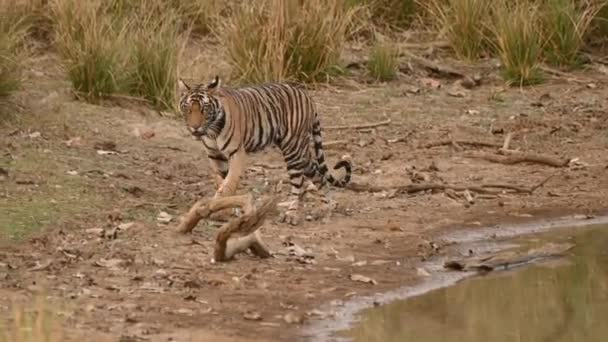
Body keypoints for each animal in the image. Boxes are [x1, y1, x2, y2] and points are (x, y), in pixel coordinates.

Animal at [177, 75, 352, 224]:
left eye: (204, 109)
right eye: (188, 109)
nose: (194, 127)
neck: (212, 131)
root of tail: (307, 96)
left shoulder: (237, 153)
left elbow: (228, 185)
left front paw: (215, 209)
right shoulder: (215, 156)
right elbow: (222, 182)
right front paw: (225, 210)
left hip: (293, 148)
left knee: (298, 182)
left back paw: (291, 214)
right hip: (302, 153)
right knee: (318, 176)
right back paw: (327, 209)